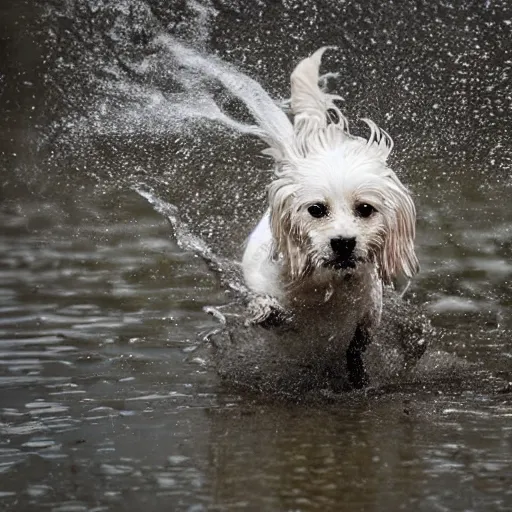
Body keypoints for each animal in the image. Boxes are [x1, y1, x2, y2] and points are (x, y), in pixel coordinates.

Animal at [240, 48, 420, 390]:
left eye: (365, 209)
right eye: (316, 210)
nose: (343, 243)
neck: (323, 284)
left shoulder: (368, 313)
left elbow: (356, 347)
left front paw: (358, 377)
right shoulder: (263, 285)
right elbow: (269, 309)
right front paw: (268, 313)